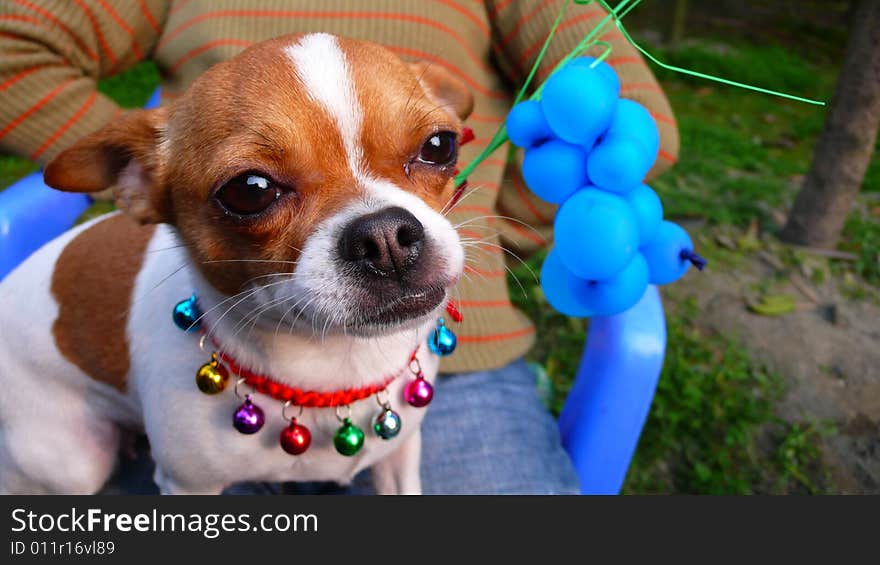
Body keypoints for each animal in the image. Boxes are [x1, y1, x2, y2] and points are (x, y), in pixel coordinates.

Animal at [0, 34, 470, 494]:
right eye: (250, 189)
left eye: (439, 146)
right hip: (72, 463)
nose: (385, 236)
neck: (333, 368)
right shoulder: (188, 487)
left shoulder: (399, 455)